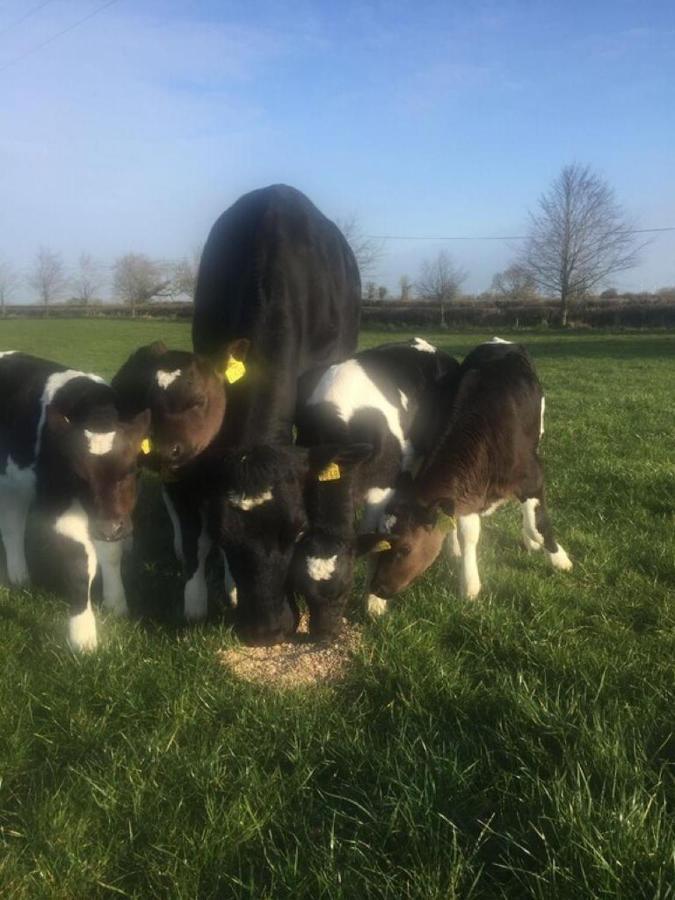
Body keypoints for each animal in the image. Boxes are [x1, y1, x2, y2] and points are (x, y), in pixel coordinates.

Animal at [290, 340, 460, 640]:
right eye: (305, 591)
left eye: (344, 589)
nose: (322, 635)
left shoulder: (382, 486)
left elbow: (376, 542)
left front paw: (374, 604)